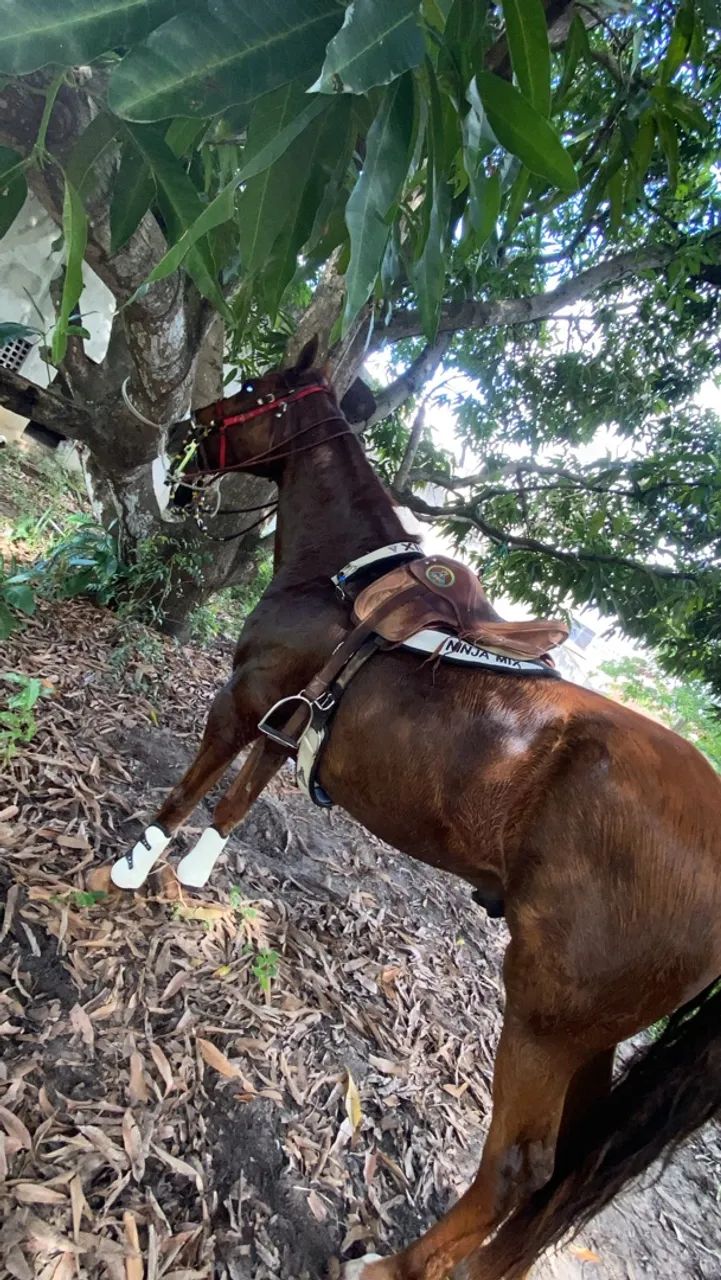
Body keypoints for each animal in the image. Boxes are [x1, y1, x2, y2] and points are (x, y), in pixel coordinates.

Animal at [110, 339, 721, 1280]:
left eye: (251, 391)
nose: (183, 428)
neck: (341, 585)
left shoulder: (244, 697)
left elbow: (193, 784)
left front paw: (137, 859)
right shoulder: (288, 721)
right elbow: (239, 796)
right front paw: (198, 870)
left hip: (544, 1022)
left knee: (517, 1170)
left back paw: (392, 1265)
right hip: (592, 1036)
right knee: (559, 1178)